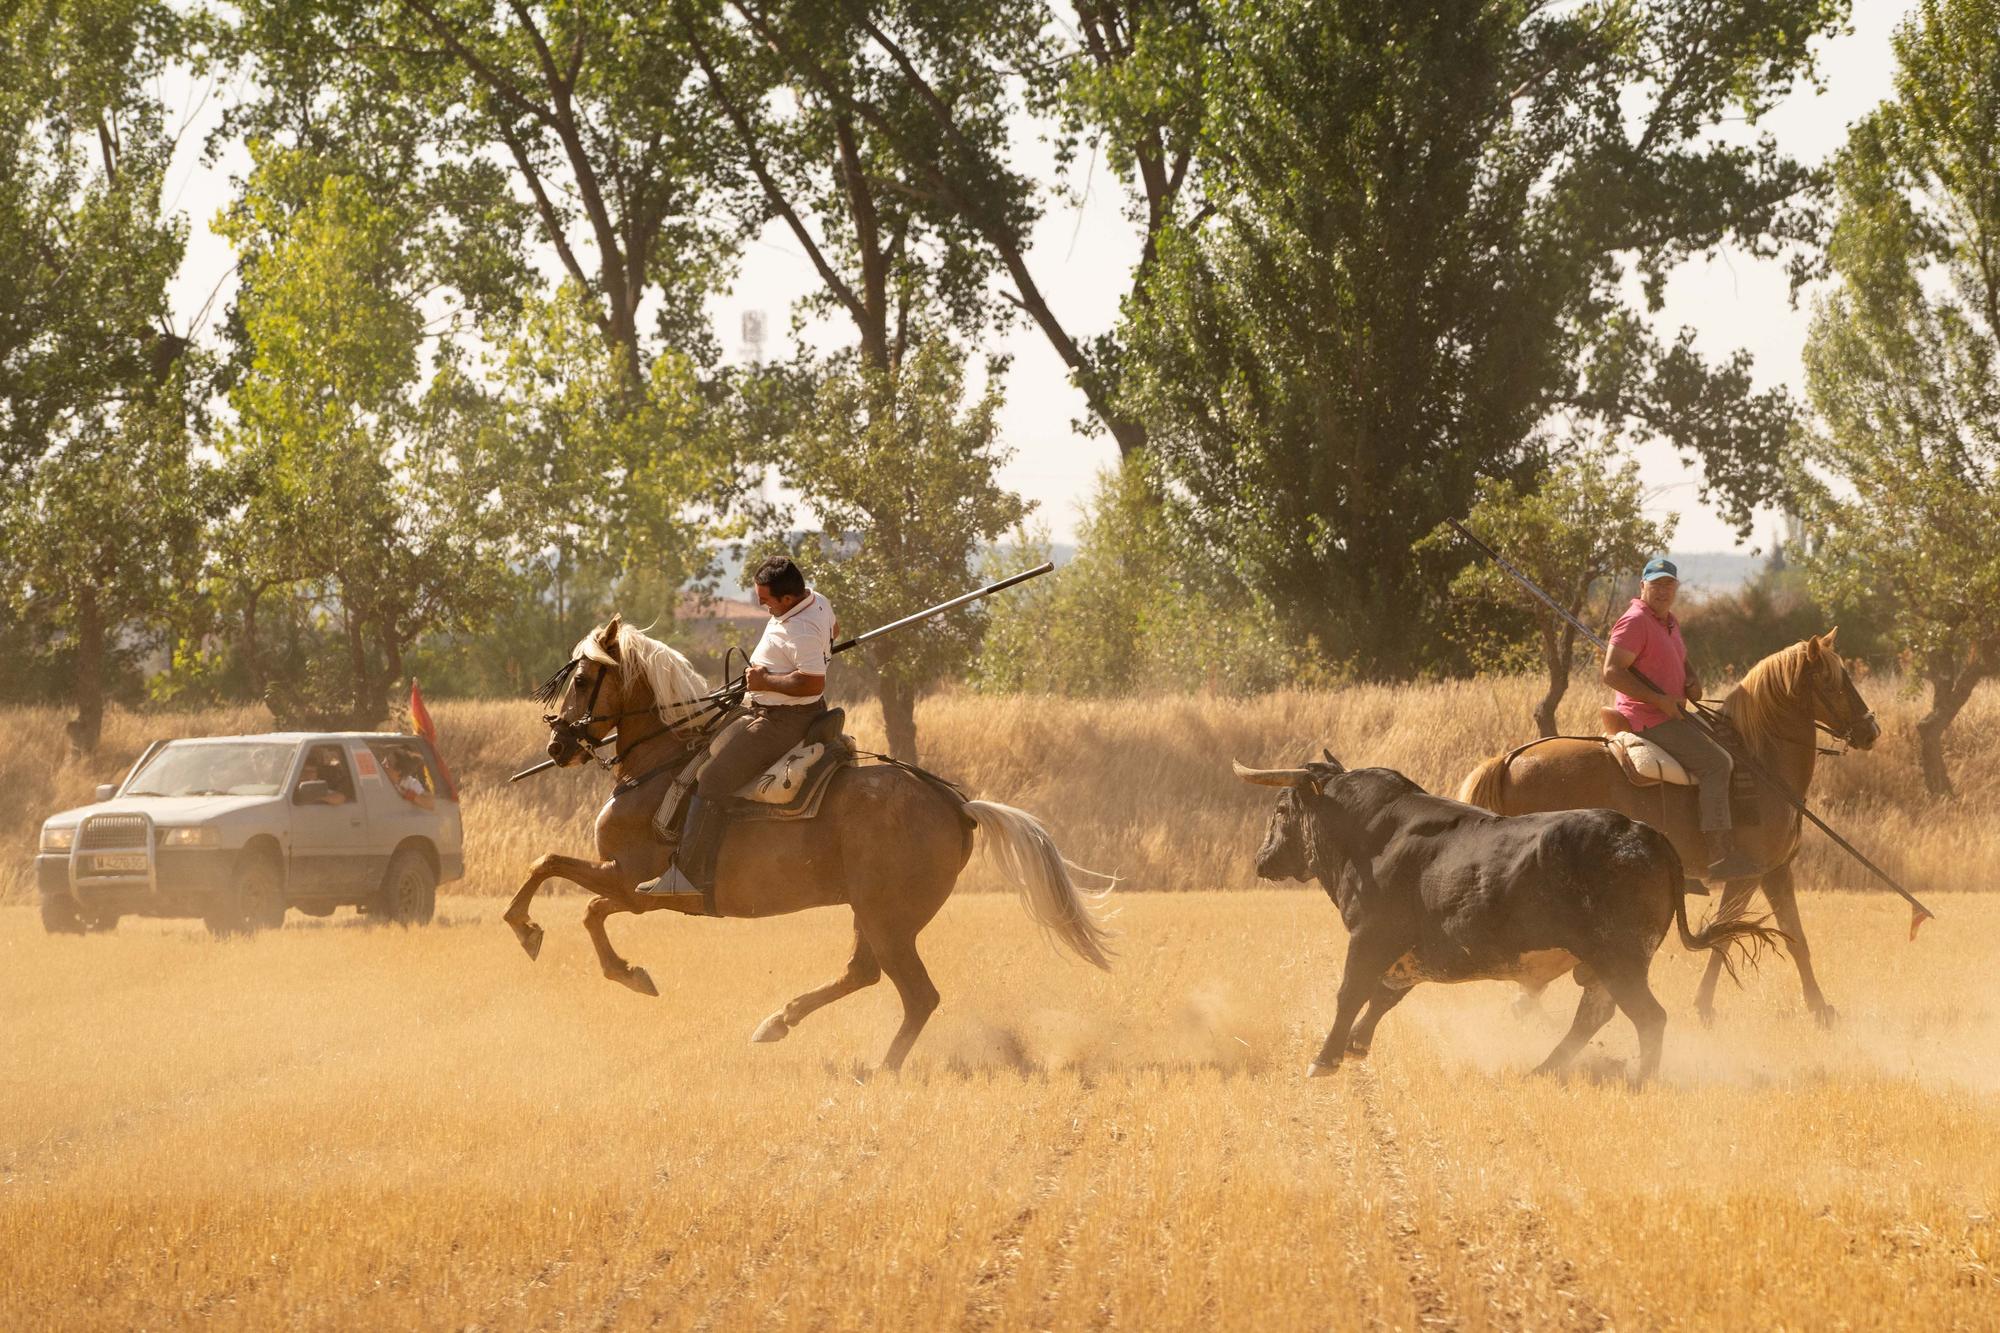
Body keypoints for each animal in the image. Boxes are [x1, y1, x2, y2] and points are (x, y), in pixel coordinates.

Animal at [500, 616, 1120, 1072]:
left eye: (583, 680)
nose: (558, 744)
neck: (659, 764)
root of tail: (957, 806)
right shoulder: (627, 885)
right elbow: (575, 893)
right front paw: (612, 964)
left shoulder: (631, 879)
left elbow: (559, 879)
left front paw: (545, 938)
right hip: (874, 913)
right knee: (863, 974)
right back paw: (778, 1023)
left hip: (889, 917)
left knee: (917, 994)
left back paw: (880, 1069)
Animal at [1232, 752, 1784, 1072]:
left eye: (1281, 809)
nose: (1261, 860)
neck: (1373, 834)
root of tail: (1647, 835)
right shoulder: (1409, 953)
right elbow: (1384, 996)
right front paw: (1355, 1047)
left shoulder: (1369, 936)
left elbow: (1351, 993)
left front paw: (1324, 1059)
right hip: (1609, 964)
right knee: (1596, 1014)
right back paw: (1544, 1070)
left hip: (1620, 958)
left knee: (1646, 1017)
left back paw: (1636, 1081)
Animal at [1456, 628, 1872, 1020]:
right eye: (1833, 680)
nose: (1871, 730)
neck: (1759, 761)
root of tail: (1510, 759)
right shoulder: (1746, 875)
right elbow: (1724, 936)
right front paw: (1704, 1007)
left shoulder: (1775, 871)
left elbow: (1794, 936)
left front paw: (1820, 1009)